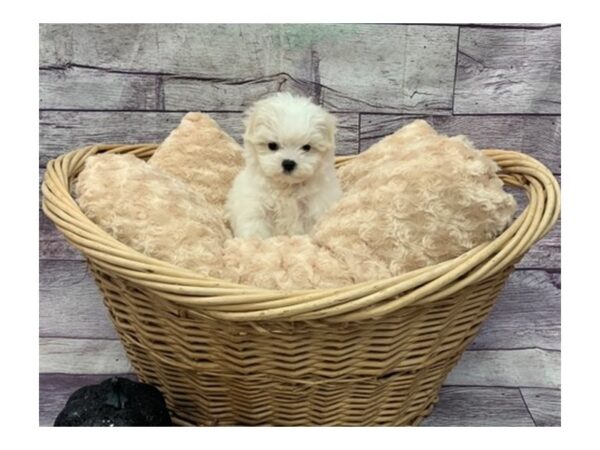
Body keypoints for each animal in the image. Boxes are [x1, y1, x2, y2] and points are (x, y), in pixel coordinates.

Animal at [226, 92, 342, 239]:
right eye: (272, 145)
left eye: (306, 147)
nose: (288, 163)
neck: (286, 186)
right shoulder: (255, 205)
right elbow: (255, 229)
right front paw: (253, 240)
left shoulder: (314, 209)